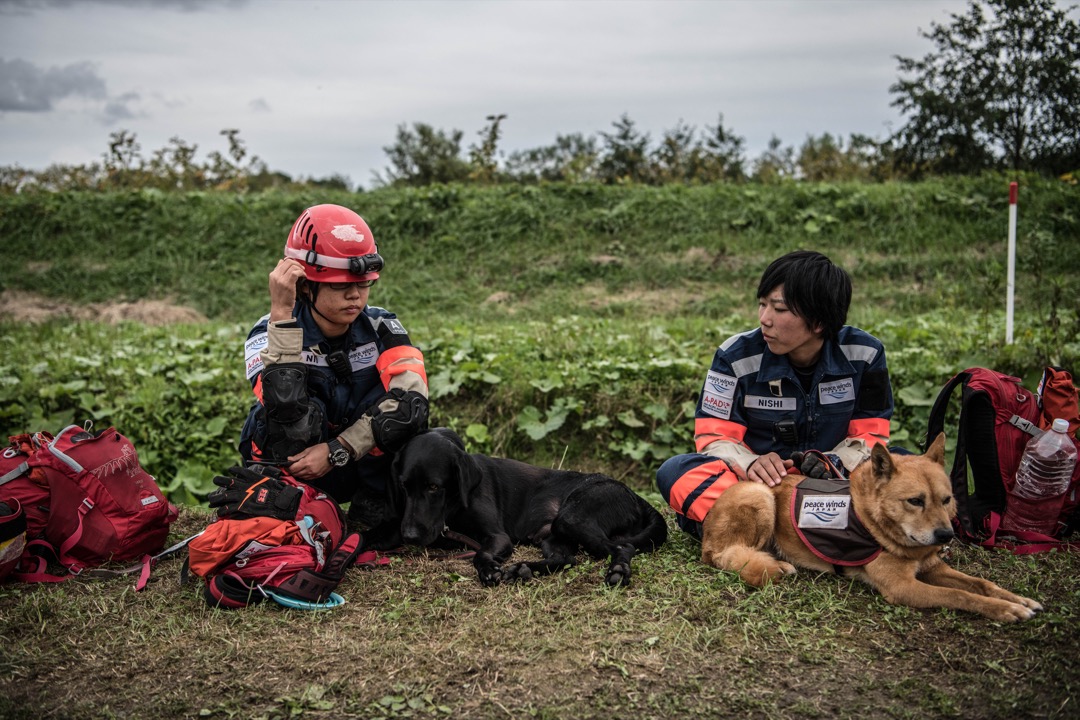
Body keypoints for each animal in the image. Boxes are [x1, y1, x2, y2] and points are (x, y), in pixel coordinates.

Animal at [395, 427, 665, 587]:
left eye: (433, 486)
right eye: (404, 486)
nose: (408, 536)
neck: (454, 506)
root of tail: (634, 495)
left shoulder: (498, 536)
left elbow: (480, 553)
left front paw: (489, 570)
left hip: (571, 517)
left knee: (623, 547)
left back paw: (618, 570)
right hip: (553, 535)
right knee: (566, 559)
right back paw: (523, 569)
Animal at [699, 433, 1045, 626]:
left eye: (946, 499)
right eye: (915, 501)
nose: (946, 536)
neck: (874, 520)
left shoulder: (932, 568)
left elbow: (981, 583)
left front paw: (1018, 600)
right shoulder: (904, 587)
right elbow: (960, 595)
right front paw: (1005, 609)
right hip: (760, 496)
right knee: (731, 555)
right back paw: (775, 565)